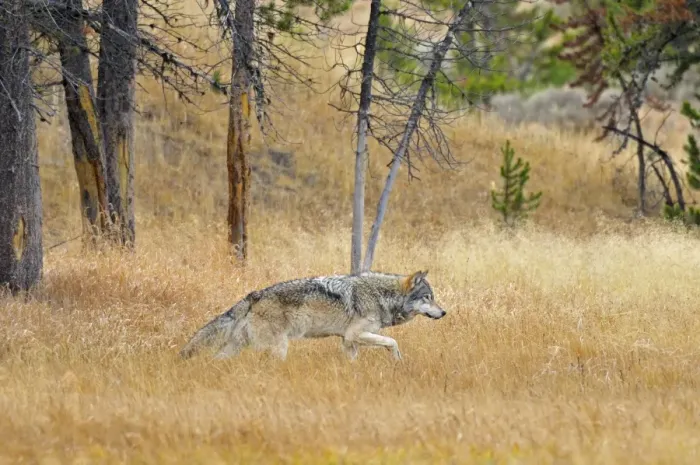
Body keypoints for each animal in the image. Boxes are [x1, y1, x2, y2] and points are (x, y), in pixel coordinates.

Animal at [179, 270, 446, 361]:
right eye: (427, 297)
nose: (444, 312)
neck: (381, 295)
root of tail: (254, 295)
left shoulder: (348, 341)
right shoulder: (355, 335)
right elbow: (393, 341)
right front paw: (398, 360)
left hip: (236, 346)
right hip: (278, 347)